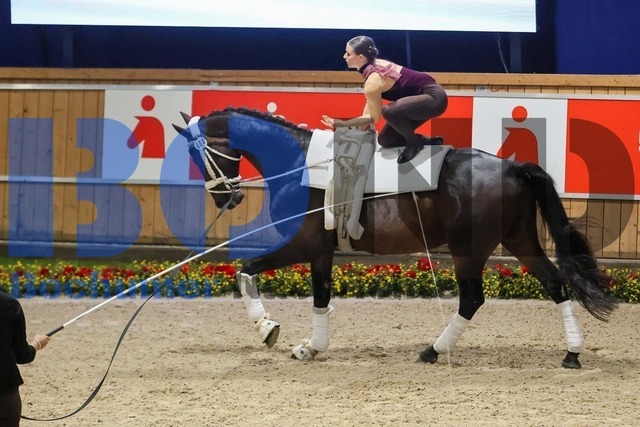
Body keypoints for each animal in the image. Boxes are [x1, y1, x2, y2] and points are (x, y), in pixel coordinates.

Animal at [173, 107, 617, 369]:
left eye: (198, 154)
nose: (225, 198)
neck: (300, 166)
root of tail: (512, 167)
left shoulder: (302, 244)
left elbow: (245, 269)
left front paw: (267, 328)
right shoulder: (321, 251)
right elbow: (320, 298)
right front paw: (312, 347)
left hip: (468, 249)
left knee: (472, 299)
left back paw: (433, 350)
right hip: (519, 240)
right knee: (556, 284)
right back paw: (572, 353)